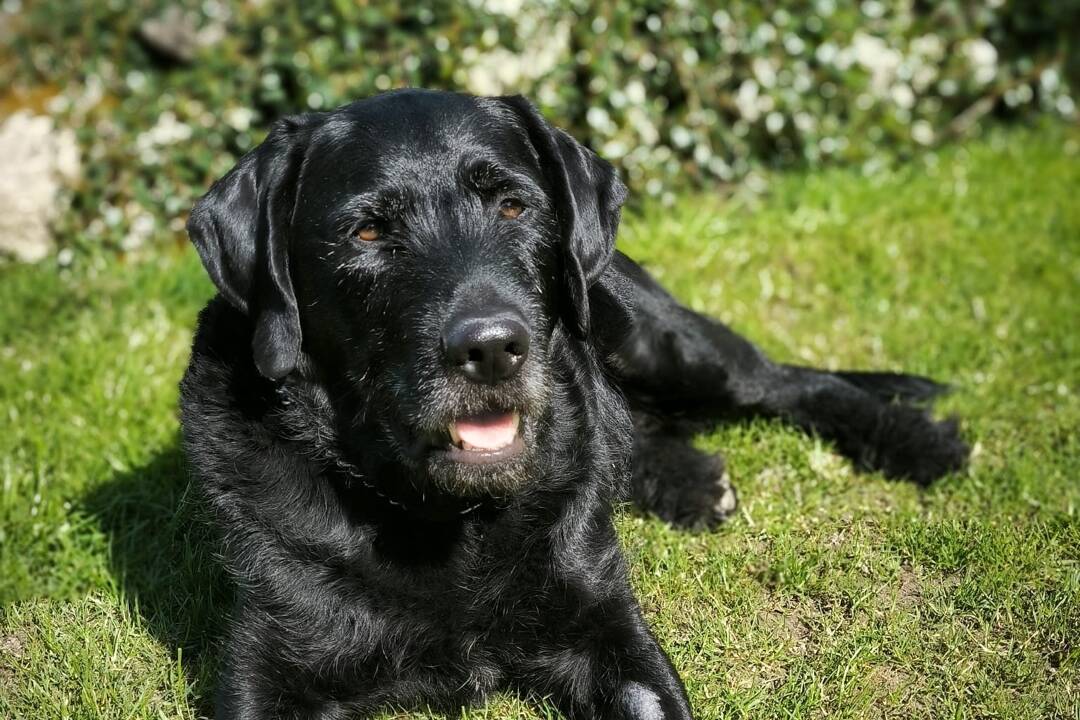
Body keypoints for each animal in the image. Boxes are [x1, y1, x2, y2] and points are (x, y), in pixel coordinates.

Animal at [181, 91, 967, 720]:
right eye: (368, 230)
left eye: (513, 204)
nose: (493, 347)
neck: (444, 518)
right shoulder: (273, 663)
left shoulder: (609, 629)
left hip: (657, 337)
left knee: (788, 382)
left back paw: (922, 443)